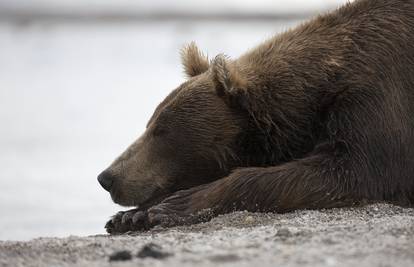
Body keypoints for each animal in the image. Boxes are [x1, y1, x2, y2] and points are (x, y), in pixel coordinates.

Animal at [98, 0, 414, 234]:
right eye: (149, 124)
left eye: (161, 131)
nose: (107, 177)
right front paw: (130, 216)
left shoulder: (374, 93)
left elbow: (355, 169)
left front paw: (173, 206)